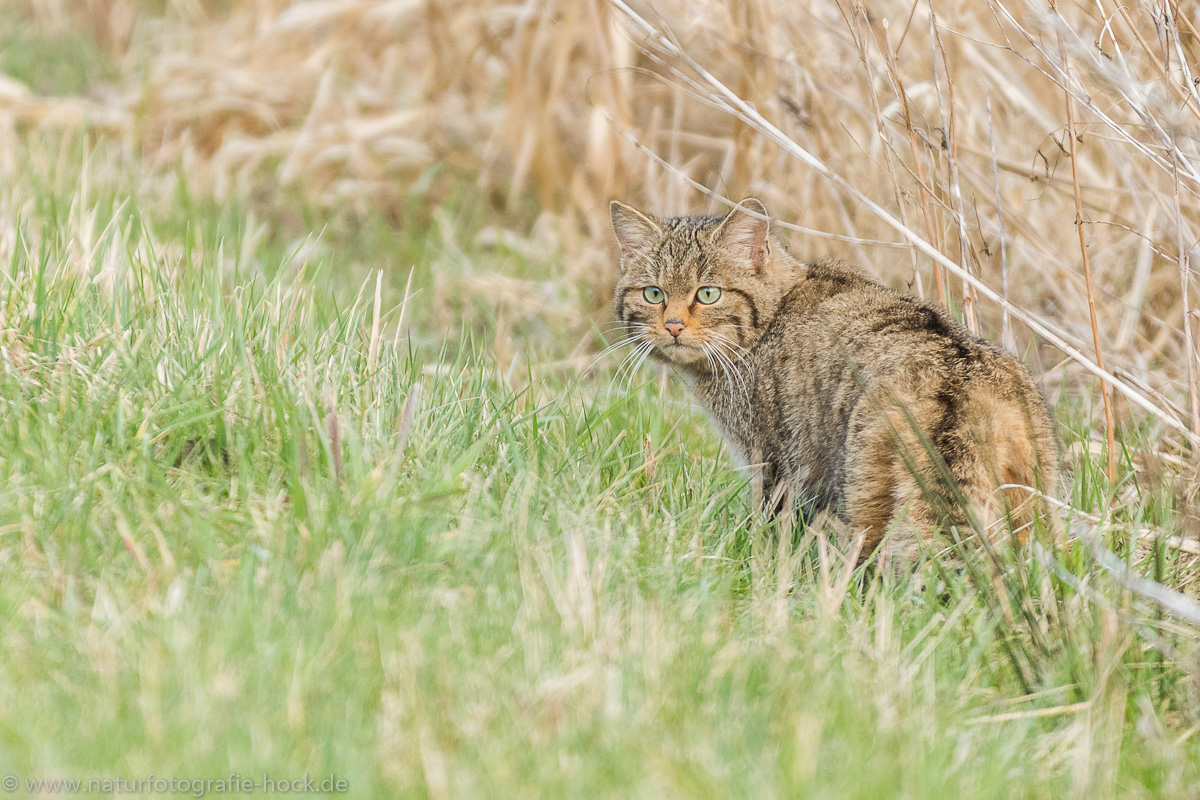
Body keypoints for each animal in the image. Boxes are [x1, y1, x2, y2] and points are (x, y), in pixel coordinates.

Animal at [609, 197, 1060, 566]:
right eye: (653, 294)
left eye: (707, 294)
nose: (672, 326)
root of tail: (957, 383)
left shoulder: (777, 464)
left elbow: (773, 529)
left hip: (865, 496)